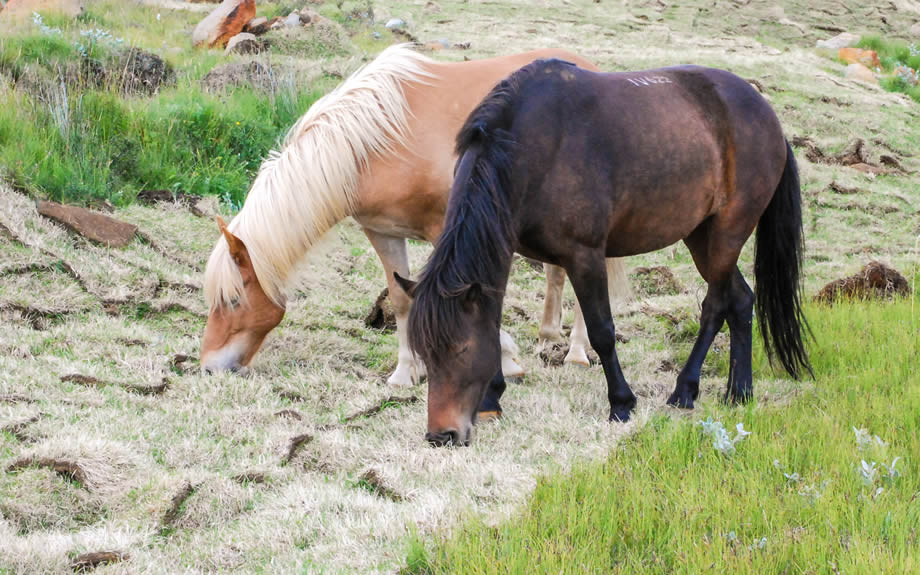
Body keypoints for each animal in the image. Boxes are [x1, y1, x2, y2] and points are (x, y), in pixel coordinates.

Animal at [199, 46, 632, 396]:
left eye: (233, 300)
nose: (208, 367)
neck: (376, 142)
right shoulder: (382, 231)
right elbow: (402, 300)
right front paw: (405, 374)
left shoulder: (451, 231)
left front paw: (504, 359)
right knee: (557, 273)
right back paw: (547, 336)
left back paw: (576, 352)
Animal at [392, 58, 808, 446]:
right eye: (424, 353)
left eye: (462, 350)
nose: (441, 435)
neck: (530, 148)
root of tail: (769, 118)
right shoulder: (506, 248)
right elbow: (494, 322)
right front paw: (492, 399)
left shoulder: (586, 256)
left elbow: (602, 331)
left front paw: (621, 403)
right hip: (701, 236)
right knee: (741, 300)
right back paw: (739, 392)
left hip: (726, 234)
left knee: (716, 306)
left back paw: (685, 390)